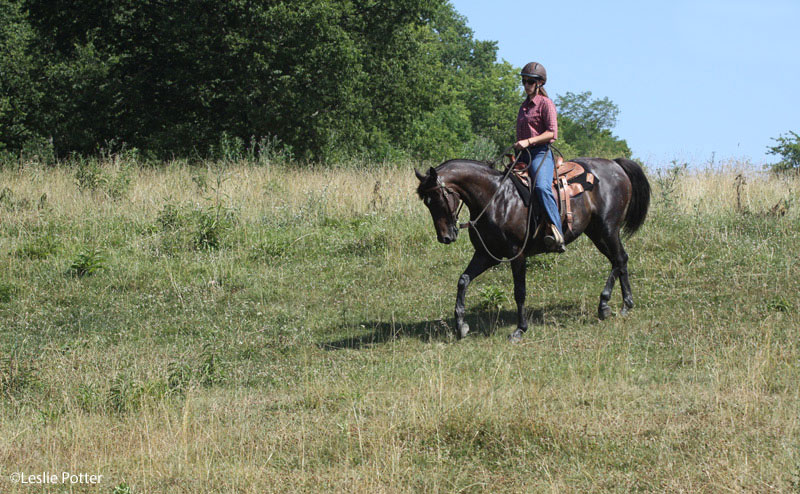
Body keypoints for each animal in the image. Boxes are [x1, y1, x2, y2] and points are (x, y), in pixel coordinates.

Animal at [416, 156, 652, 342]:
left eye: (438, 198)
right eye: (426, 202)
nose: (445, 237)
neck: (495, 198)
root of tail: (615, 164)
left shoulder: (517, 254)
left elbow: (519, 291)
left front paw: (520, 330)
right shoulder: (486, 255)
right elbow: (463, 280)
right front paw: (460, 325)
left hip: (607, 229)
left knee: (619, 259)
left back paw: (604, 305)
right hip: (596, 232)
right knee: (620, 260)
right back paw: (626, 304)